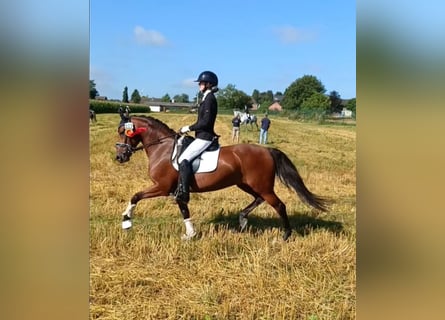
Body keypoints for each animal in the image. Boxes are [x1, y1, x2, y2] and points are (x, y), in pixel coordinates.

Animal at [114, 115, 330, 240]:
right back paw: (242, 220)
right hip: (246, 184)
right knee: (258, 199)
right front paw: (190, 234)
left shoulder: (162, 186)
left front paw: (126, 221)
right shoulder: (175, 190)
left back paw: (285, 235)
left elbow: (135, 196)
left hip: (262, 186)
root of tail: (267, 150)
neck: (163, 148)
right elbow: (183, 209)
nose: (120, 157)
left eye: (124, 132)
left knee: (279, 205)